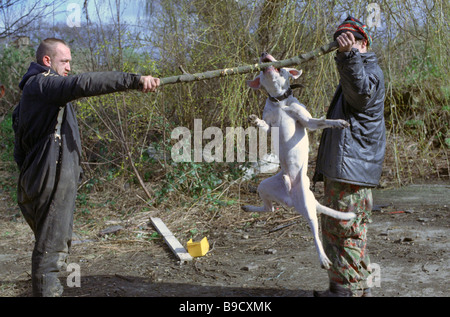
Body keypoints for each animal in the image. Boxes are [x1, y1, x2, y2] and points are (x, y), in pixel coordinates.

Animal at [243, 52, 356, 270]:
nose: (263, 53)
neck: (279, 102)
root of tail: (290, 198)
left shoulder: (307, 121)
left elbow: (323, 121)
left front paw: (339, 122)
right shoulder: (270, 126)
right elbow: (264, 125)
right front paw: (254, 120)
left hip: (307, 207)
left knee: (315, 233)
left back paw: (323, 258)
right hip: (264, 187)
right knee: (270, 209)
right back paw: (248, 208)